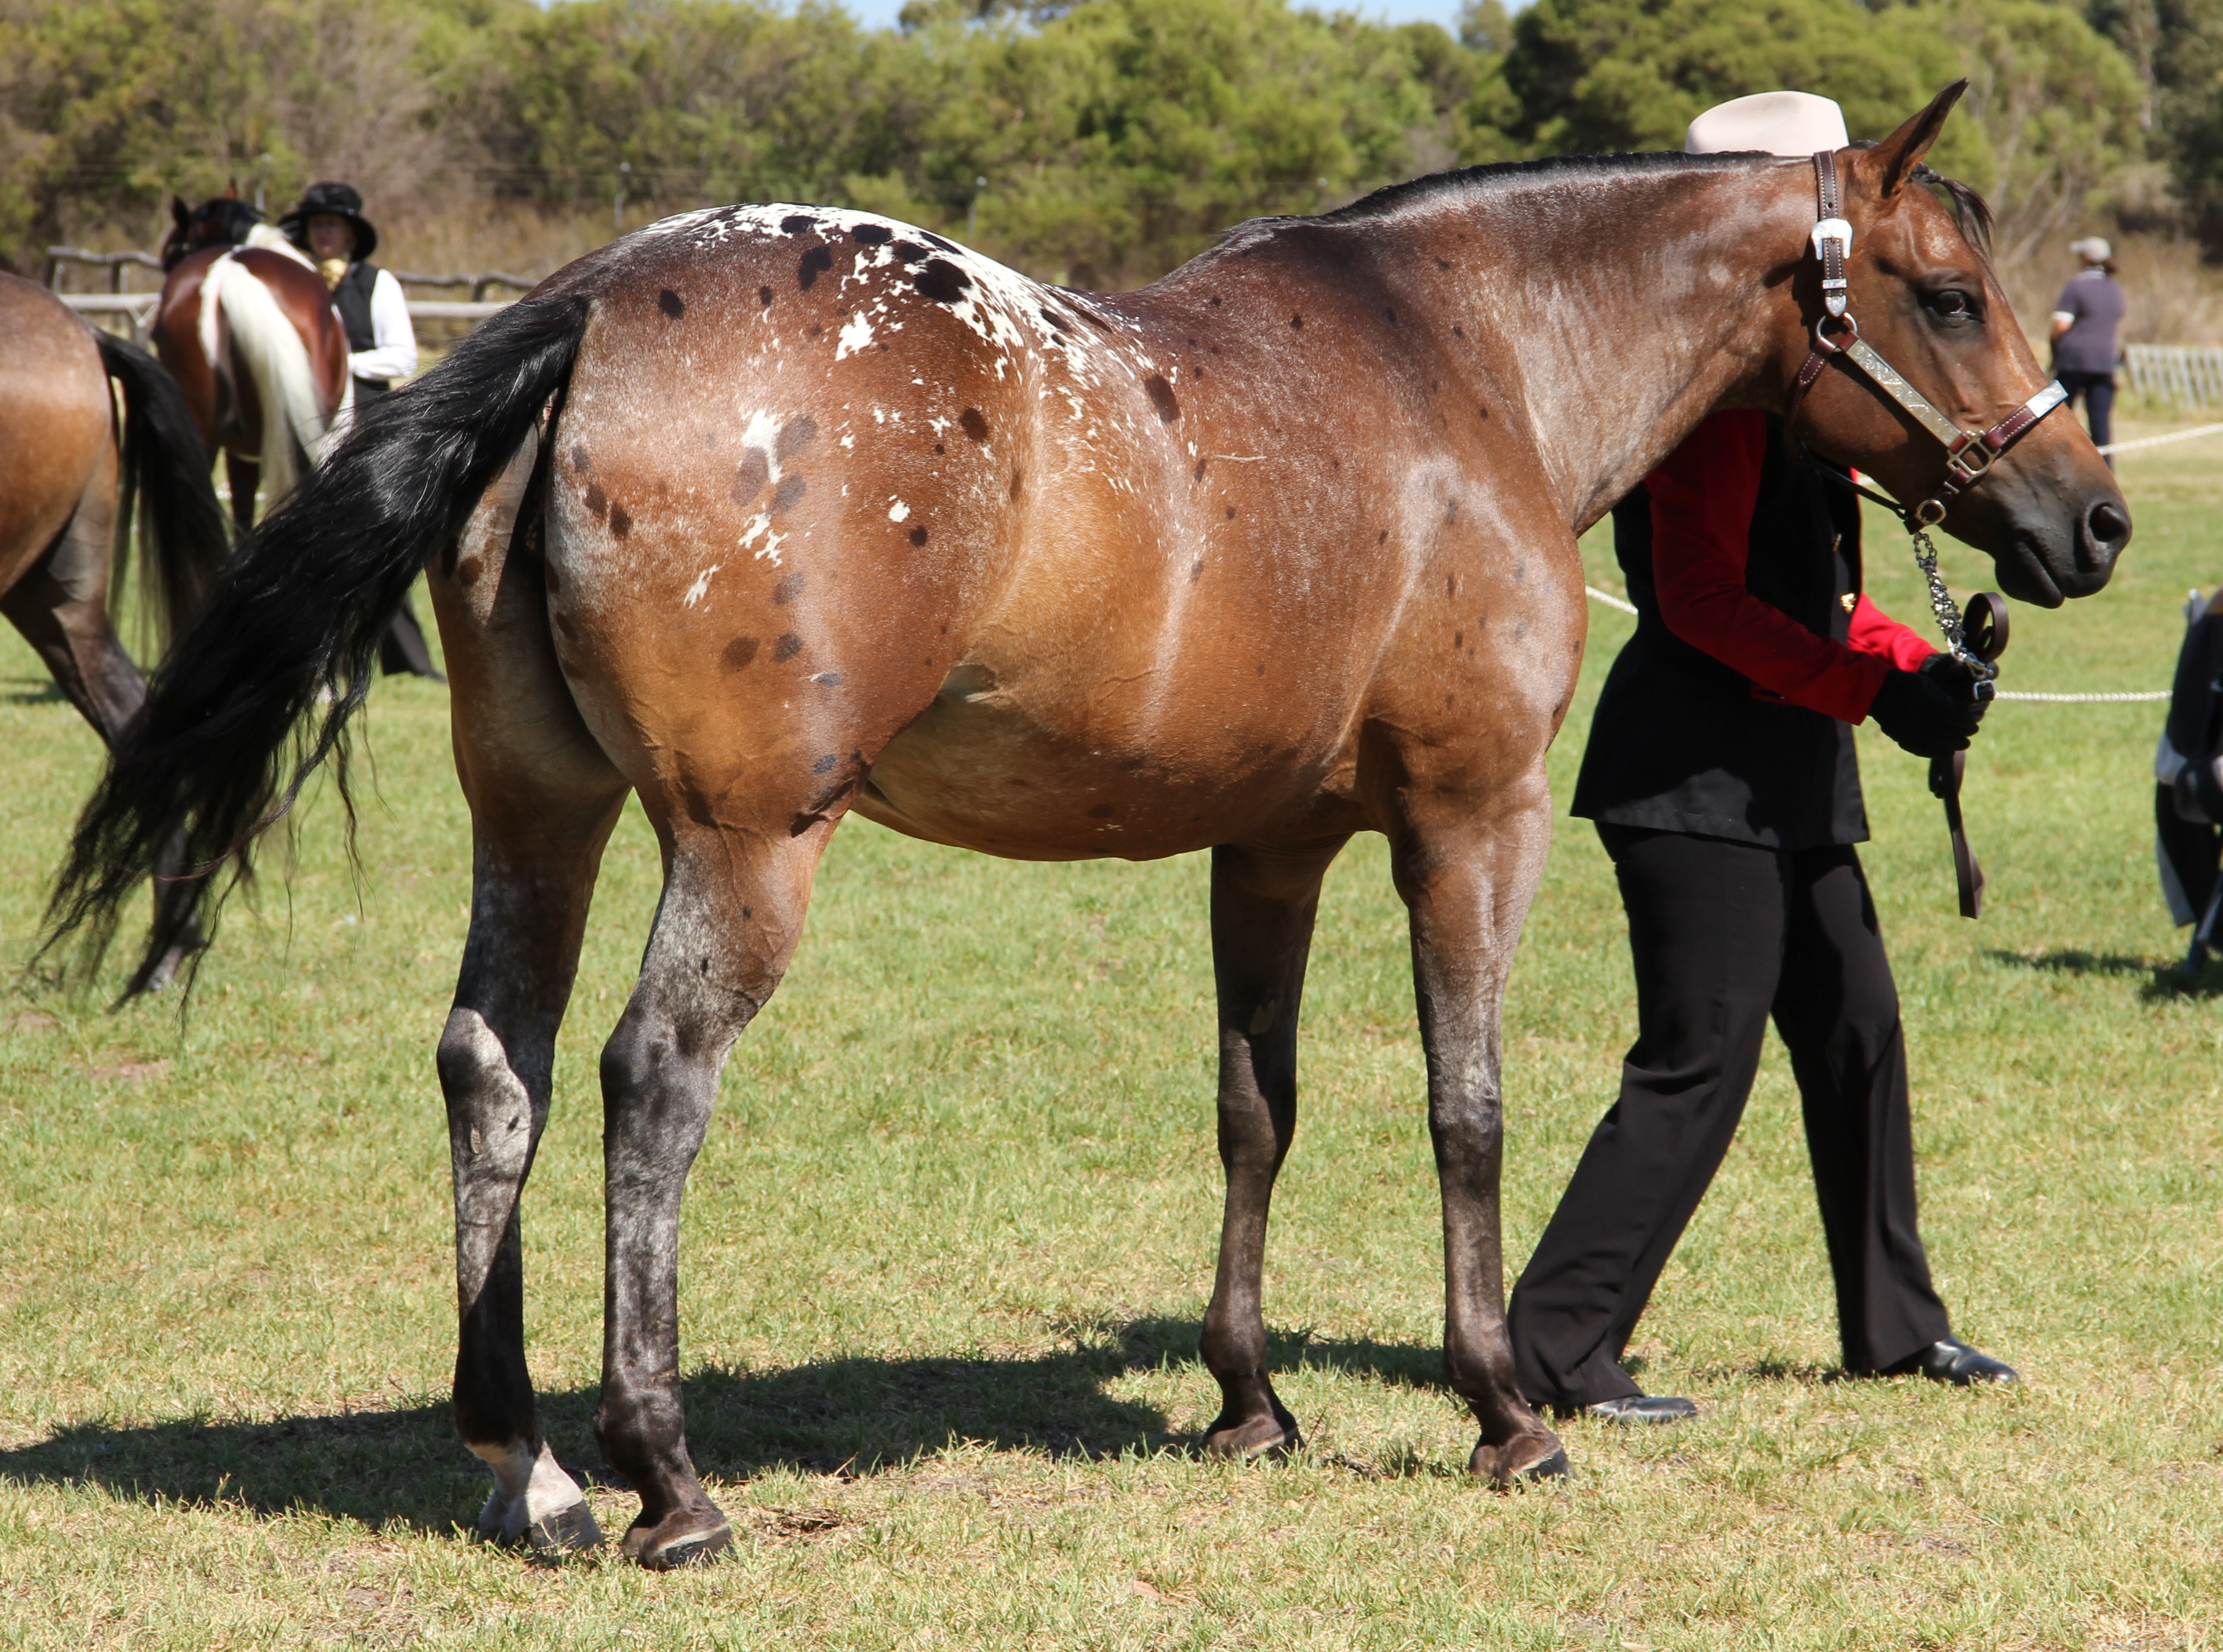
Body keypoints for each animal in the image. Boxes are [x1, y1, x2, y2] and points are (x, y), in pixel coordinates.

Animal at [52, 87, 2125, 1565]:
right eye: (1948, 294)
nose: (2091, 520)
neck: (1468, 365)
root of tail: (593, 304)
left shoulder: (1269, 843)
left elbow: (1253, 1102)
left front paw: (1246, 1401)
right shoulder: (1470, 820)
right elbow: (1463, 1107)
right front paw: (1504, 1408)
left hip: (541, 819)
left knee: (498, 1064)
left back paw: (532, 1467)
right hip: (744, 841)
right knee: (648, 1079)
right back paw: (669, 1481)